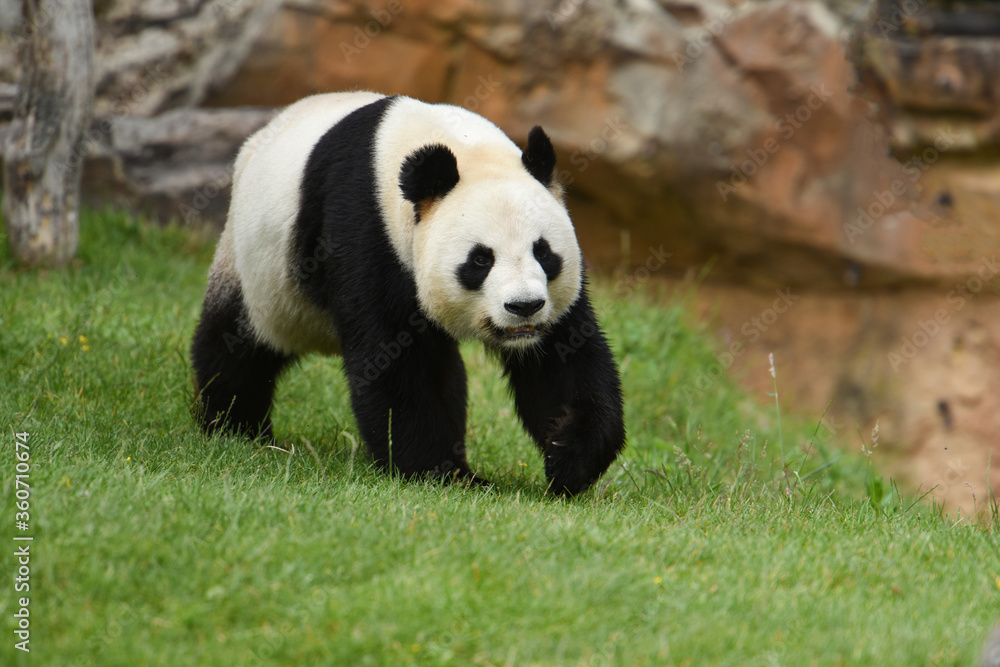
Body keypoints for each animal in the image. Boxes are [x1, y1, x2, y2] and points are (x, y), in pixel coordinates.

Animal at [190, 92, 625, 495]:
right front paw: (438, 473)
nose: (524, 307)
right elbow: (393, 361)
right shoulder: (365, 228)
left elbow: (563, 360)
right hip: (258, 270)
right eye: (480, 260)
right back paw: (236, 428)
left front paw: (568, 458)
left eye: (544, 252)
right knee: (237, 346)